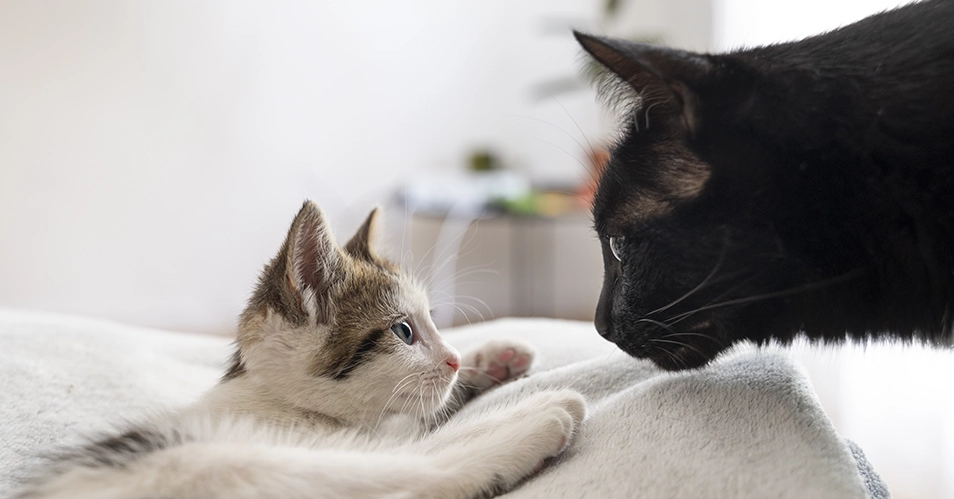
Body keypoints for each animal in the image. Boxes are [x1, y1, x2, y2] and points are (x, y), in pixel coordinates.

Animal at [20, 202, 588, 499]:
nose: (450, 357)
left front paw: (493, 357)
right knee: (416, 475)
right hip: (218, 463)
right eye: (404, 332)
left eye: (430, 323)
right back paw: (545, 414)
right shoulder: (345, 439)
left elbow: (428, 410)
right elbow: (426, 433)